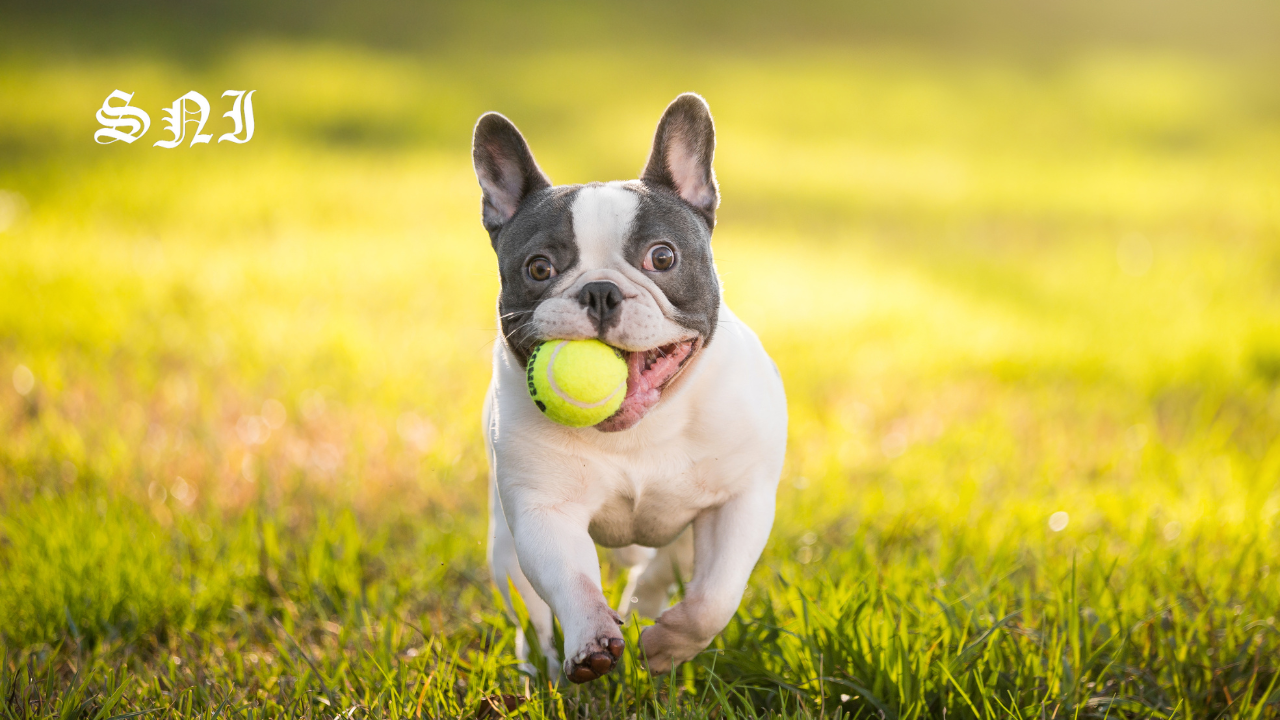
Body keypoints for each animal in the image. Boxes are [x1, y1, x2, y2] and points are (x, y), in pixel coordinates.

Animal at [473, 92, 783, 681]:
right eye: (539, 268)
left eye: (662, 257)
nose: (599, 291)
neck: (641, 428)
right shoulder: (544, 511)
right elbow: (571, 580)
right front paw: (591, 641)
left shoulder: (739, 501)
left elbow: (714, 597)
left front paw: (666, 647)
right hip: (503, 547)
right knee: (530, 611)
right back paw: (541, 665)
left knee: (665, 571)